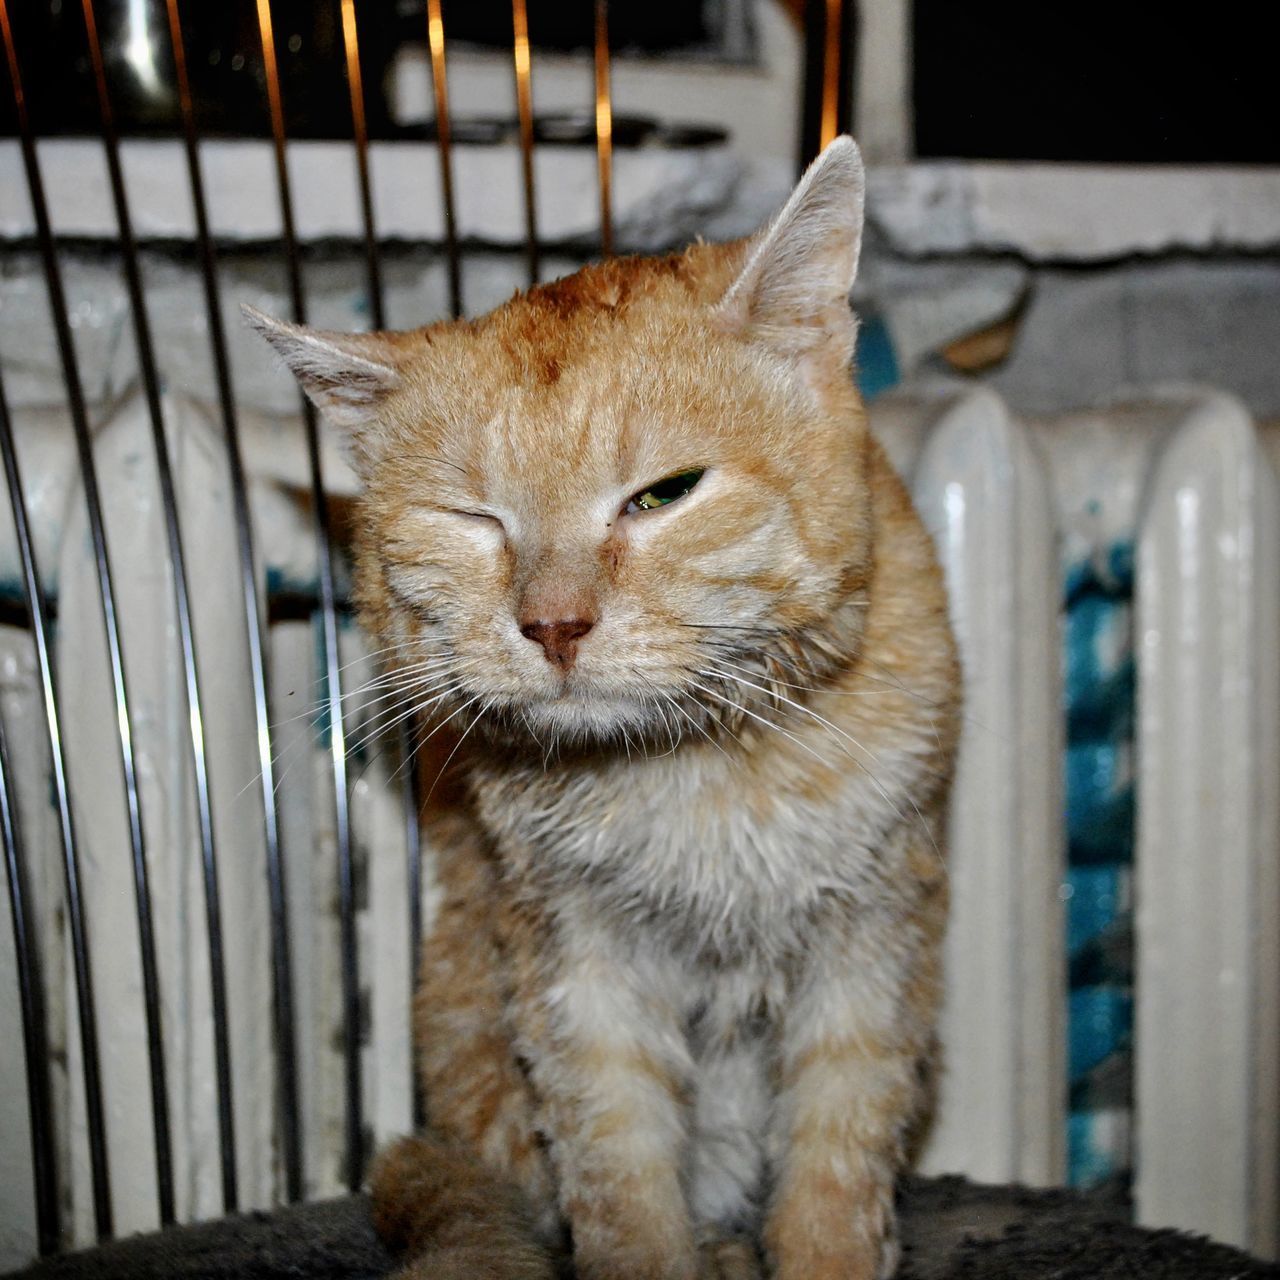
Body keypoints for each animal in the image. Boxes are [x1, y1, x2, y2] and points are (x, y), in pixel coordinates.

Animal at [247, 137, 962, 1280]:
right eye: (473, 518)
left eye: (664, 494)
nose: (553, 624)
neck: (692, 766)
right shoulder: (577, 971)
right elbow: (622, 1183)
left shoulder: (870, 946)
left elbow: (835, 1173)